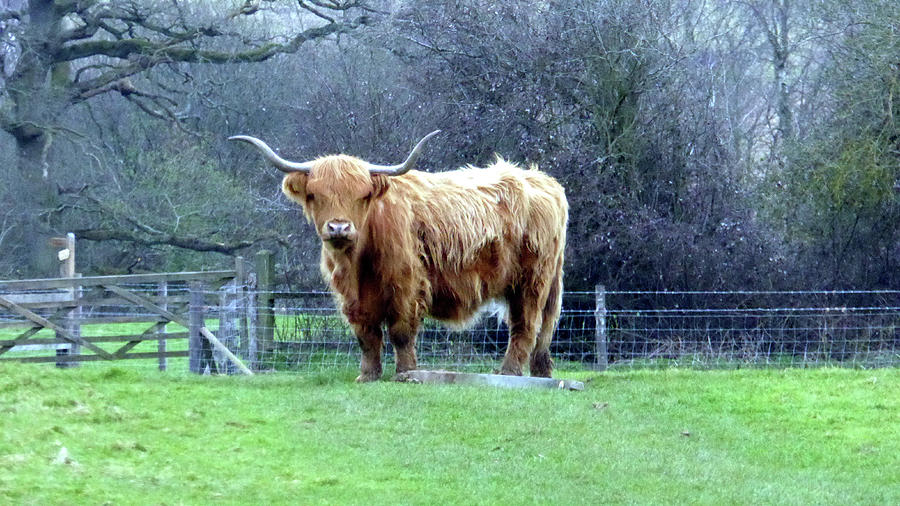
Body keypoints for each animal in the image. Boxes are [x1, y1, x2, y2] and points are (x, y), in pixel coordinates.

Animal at [232, 130, 568, 380]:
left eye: (362, 195)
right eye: (315, 195)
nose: (339, 227)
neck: (357, 264)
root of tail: (544, 181)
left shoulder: (406, 286)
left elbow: (400, 332)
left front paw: (406, 373)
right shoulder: (352, 298)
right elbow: (367, 336)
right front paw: (368, 375)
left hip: (532, 281)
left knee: (525, 326)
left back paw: (508, 373)